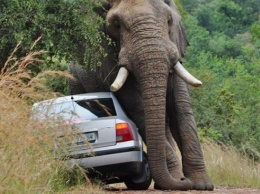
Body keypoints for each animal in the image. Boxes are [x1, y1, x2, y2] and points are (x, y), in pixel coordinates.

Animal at [68, 0, 214, 191]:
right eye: (116, 25)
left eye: (169, 21)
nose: (184, 181)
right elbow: (136, 104)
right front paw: (179, 182)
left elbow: (180, 104)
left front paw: (202, 185)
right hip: (75, 81)